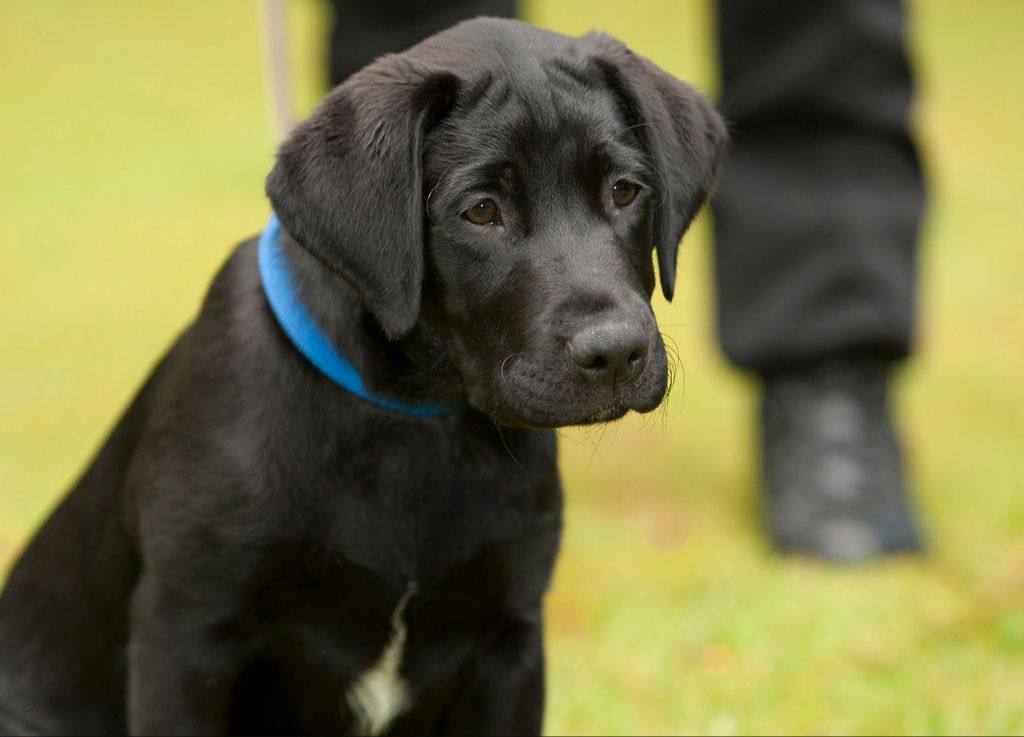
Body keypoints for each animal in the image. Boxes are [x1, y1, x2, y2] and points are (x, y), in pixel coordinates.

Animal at [0, 17, 724, 737]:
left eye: (625, 191)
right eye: (481, 210)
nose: (616, 352)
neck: (415, 418)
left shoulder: (510, 639)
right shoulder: (185, 635)